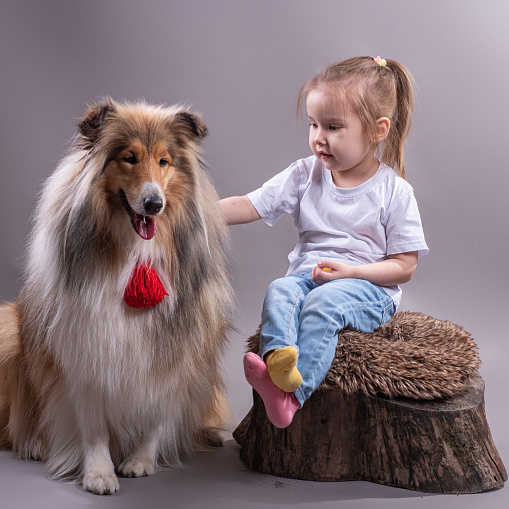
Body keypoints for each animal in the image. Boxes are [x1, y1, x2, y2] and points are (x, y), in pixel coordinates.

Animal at [0, 98, 232, 492]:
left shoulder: (177, 348)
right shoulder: (86, 347)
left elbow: (158, 415)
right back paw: (33, 443)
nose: (154, 204)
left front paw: (141, 460)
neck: (135, 252)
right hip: (11, 334)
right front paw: (99, 473)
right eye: (129, 158)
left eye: (164, 161)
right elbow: (93, 425)